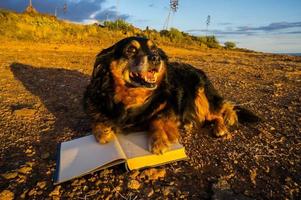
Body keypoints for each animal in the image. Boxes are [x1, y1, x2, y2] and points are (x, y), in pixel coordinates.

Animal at [83, 36, 258, 154]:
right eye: (130, 50)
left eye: (154, 49)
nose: (156, 58)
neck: (133, 98)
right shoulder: (95, 101)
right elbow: (96, 119)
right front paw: (103, 131)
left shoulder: (169, 105)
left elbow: (159, 119)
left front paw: (160, 141)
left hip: (200, 96)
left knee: (217, 114)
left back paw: (220, 128)